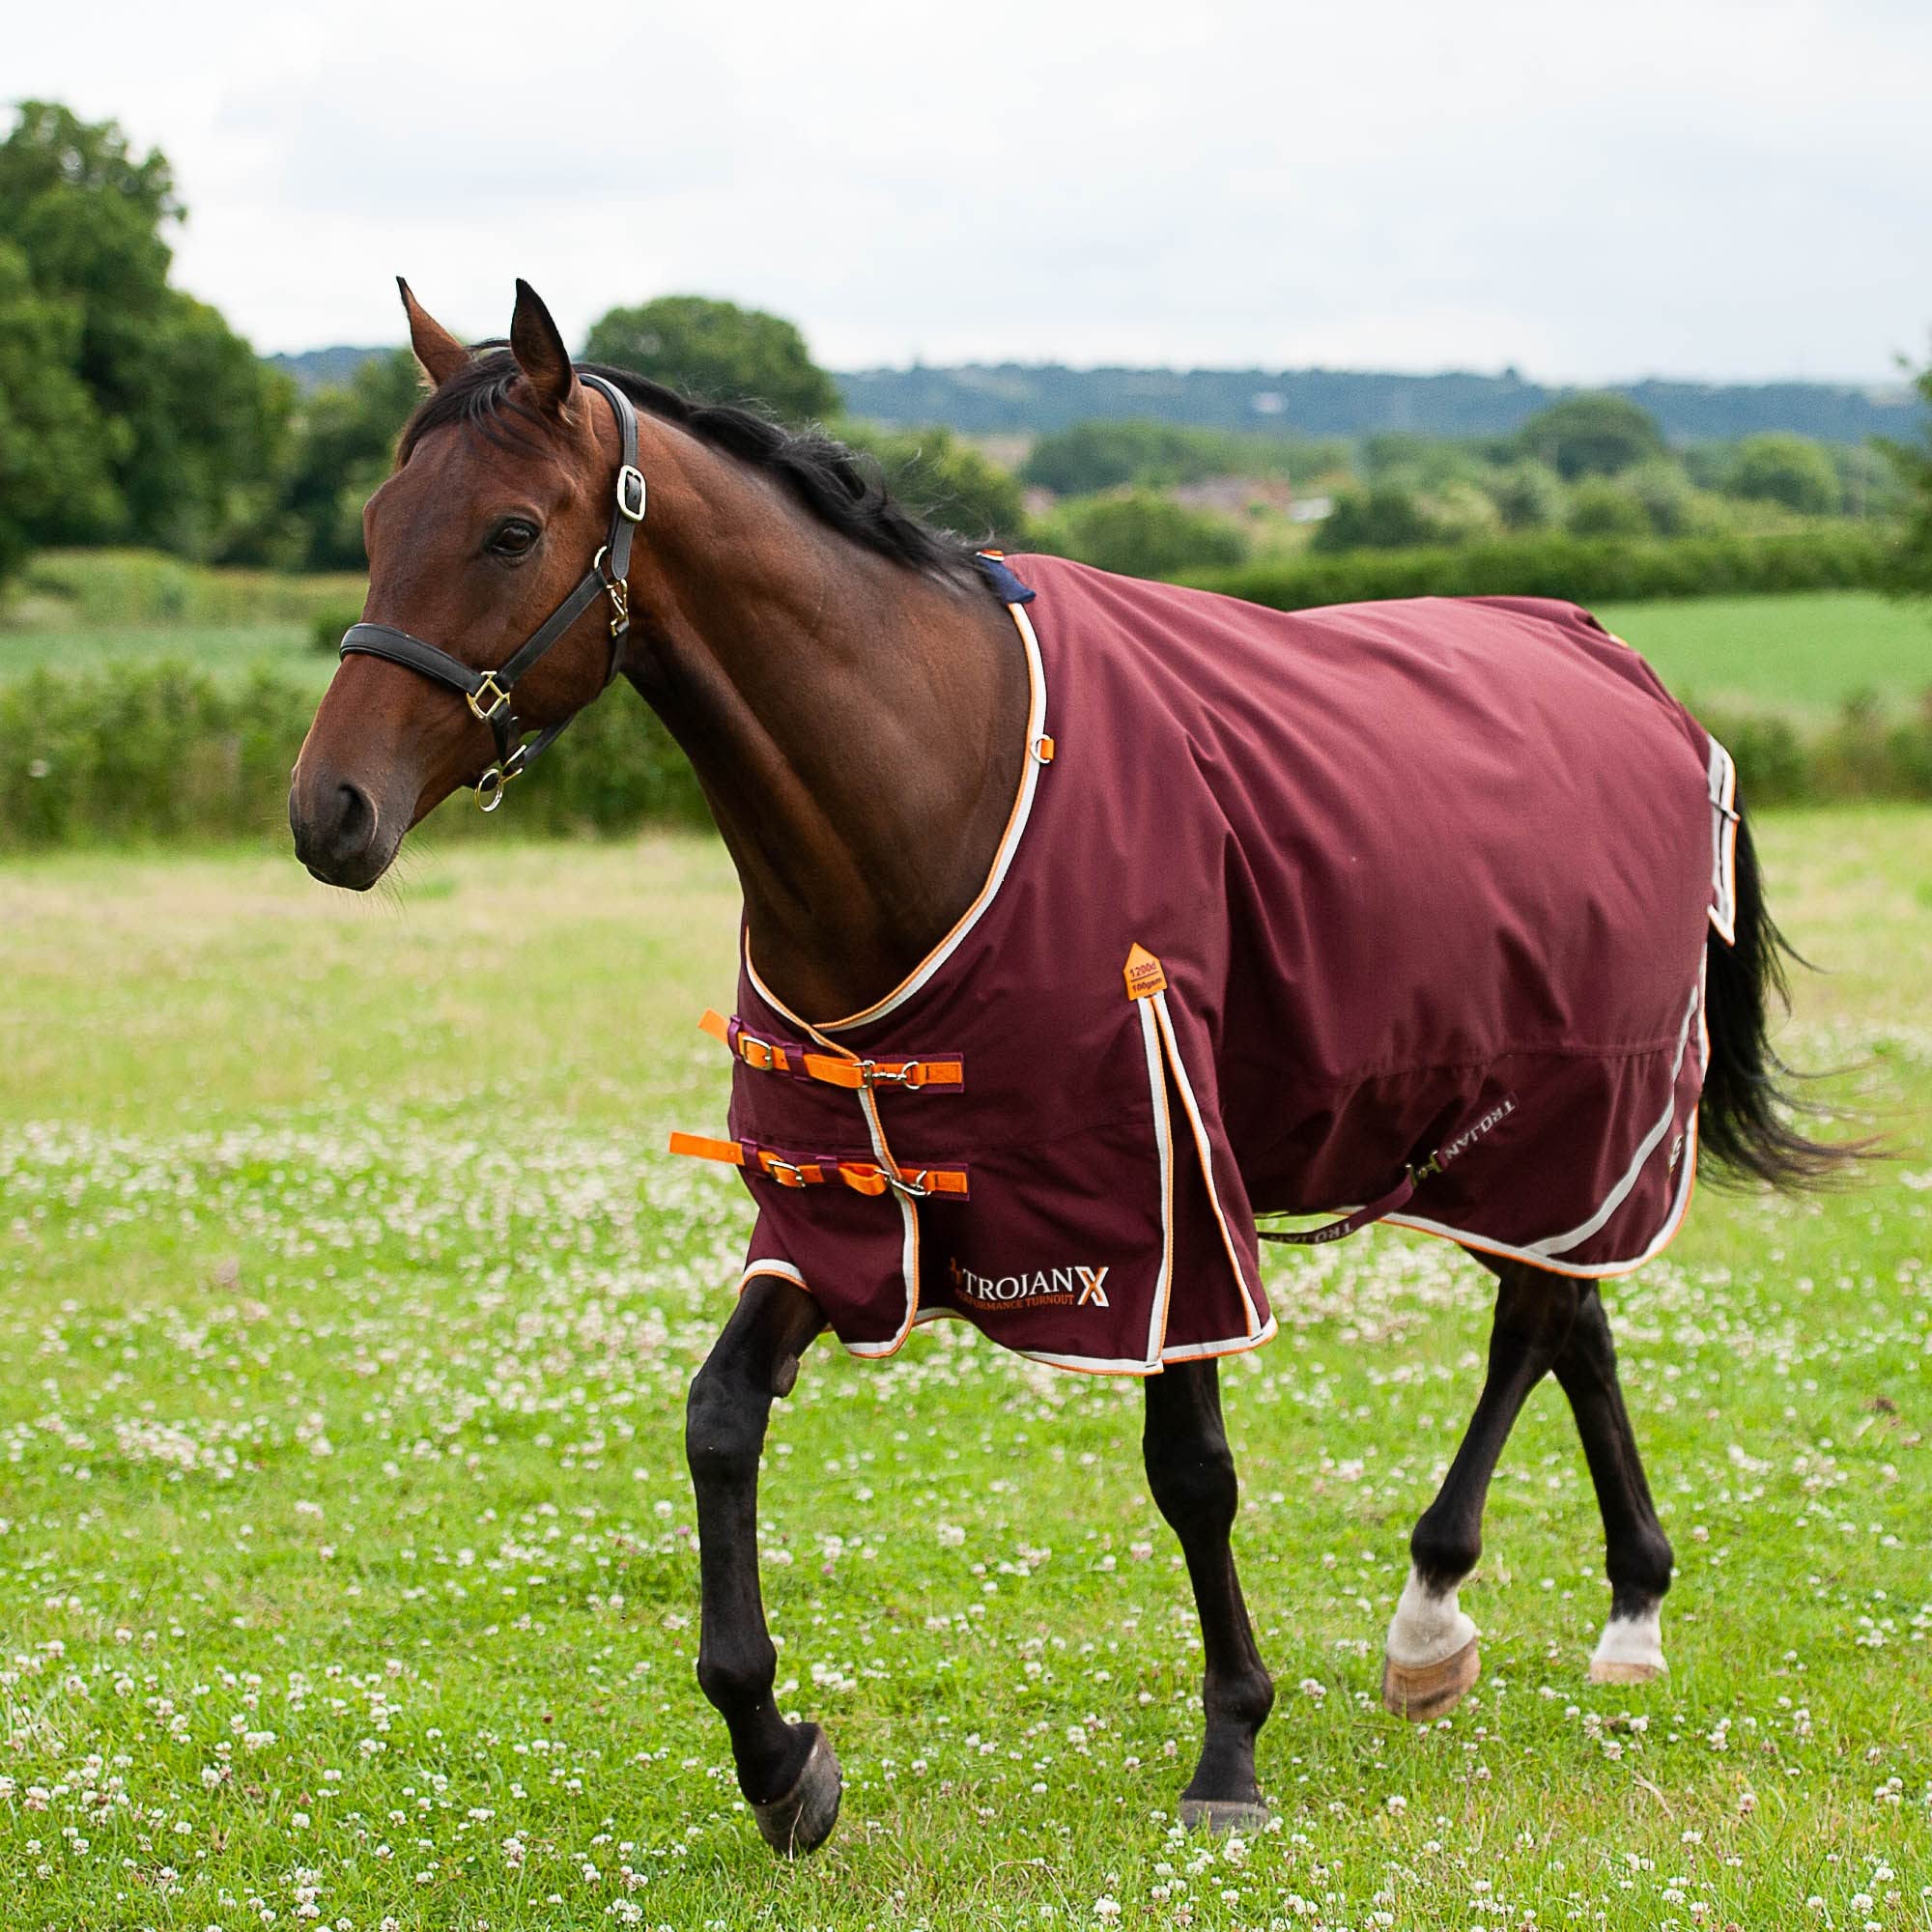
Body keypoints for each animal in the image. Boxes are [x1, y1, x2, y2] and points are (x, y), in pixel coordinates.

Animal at [289, 279, 1854, 1857]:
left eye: (509, 531)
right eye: (375, 516)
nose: (329, 811)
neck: (946, 779)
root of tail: (1641, 683)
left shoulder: (1161, 1200)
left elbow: (1193, 1475)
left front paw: (1229, 1749)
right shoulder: (842, 1208)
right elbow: (719, 1419)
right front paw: (778, 1755)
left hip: (1567, 1114)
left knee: (1535, 1320)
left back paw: (1438, 1615)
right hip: (1503, 1136)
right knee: (1570, 1314)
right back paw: (1617, 1608)